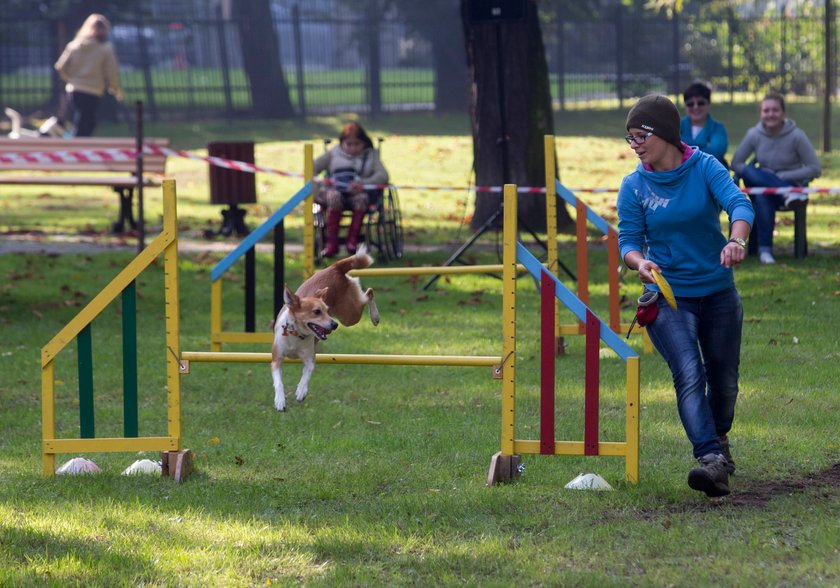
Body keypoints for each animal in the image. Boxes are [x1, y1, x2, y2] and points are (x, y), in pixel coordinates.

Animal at [270, 246, 378, 412]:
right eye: (317, 312)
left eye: (327, 310)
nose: (334, 325)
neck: (296, 335)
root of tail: (334, 267)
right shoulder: (276, 359)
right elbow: (278, 382)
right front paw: (280, 401)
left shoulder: (310, 358)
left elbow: (306, 373)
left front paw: (301, 391)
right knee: (368, 293)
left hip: (349, 315)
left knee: (369, 293)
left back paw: (375, 317)